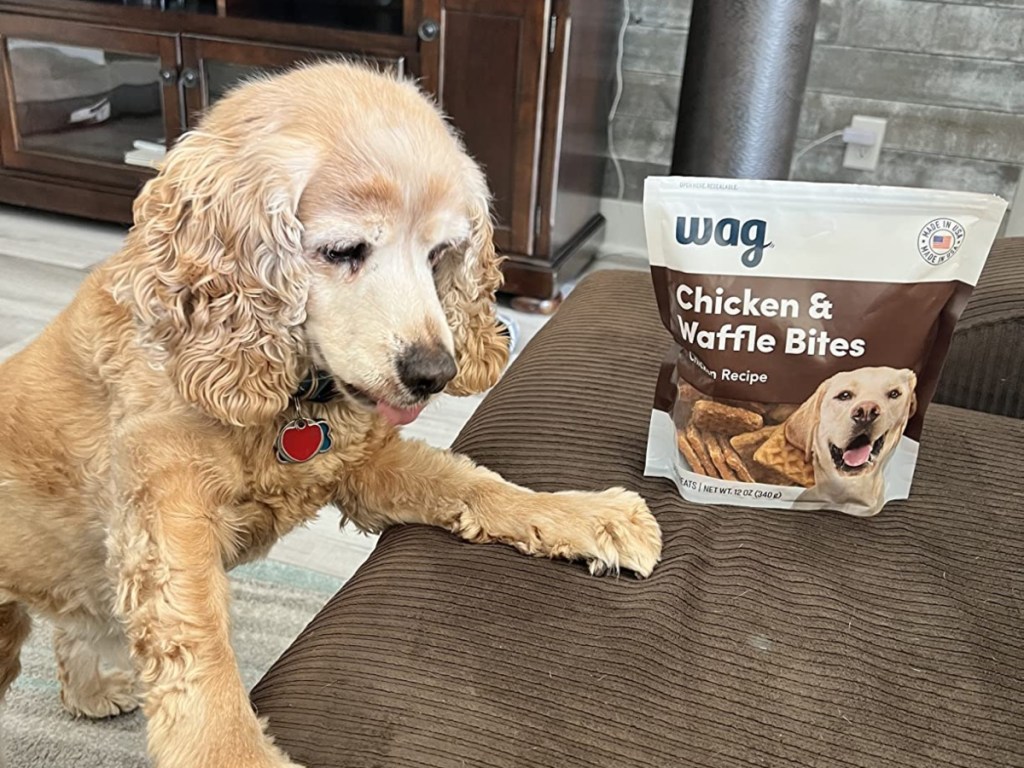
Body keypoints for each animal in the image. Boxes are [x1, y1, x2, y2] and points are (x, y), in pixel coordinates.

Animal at [0, 64, 659, 768]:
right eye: (344, 250)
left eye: (440, 254)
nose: (434, 372)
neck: (290, 395)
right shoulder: (168, 507)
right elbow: (195, 635)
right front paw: (233, 749)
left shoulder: (365, 463)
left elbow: (472, 484)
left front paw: (590, 516)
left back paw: (95, 686)